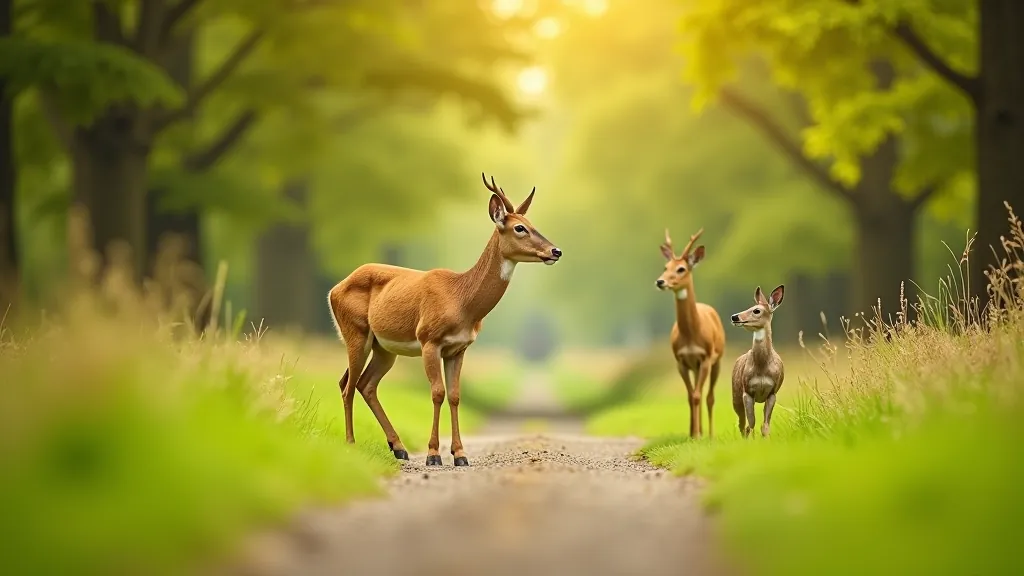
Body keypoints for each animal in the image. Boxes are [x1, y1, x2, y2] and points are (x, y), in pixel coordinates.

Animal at [327, 173, 561, 466]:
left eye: (533, 224)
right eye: (520, 228)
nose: (556, 251)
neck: (461, 300)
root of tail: (334, 289)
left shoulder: (458, 348)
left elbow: (455, 396)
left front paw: (460, 455)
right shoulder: (430, 339)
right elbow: (437, 392)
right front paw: (433, 454)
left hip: (384, 348)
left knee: (364, 384)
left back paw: (399, 447)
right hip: (355, 332)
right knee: (347, 385)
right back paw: (351, 444)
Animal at [655, 227, 726, 439]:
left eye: (681, 269)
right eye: (665, 266)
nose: (660, 281)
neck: (691, 336)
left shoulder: (706, 357)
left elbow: (697, 396)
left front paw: (700, 435)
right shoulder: (681, 360)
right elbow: (690, 396)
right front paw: (693, 434)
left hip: (717, 360)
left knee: (709, 396)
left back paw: (710, 434)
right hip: (695, 366)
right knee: (698, 393)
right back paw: (698, 431)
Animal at [729, 285, 786, 438]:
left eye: (756, 310)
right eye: (749, 307)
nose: (734, 317)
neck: (762, 367)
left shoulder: (772, 392)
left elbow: (765, 425)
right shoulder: (747, 391)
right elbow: (751, 424)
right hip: (735, 395)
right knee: (742, 423)